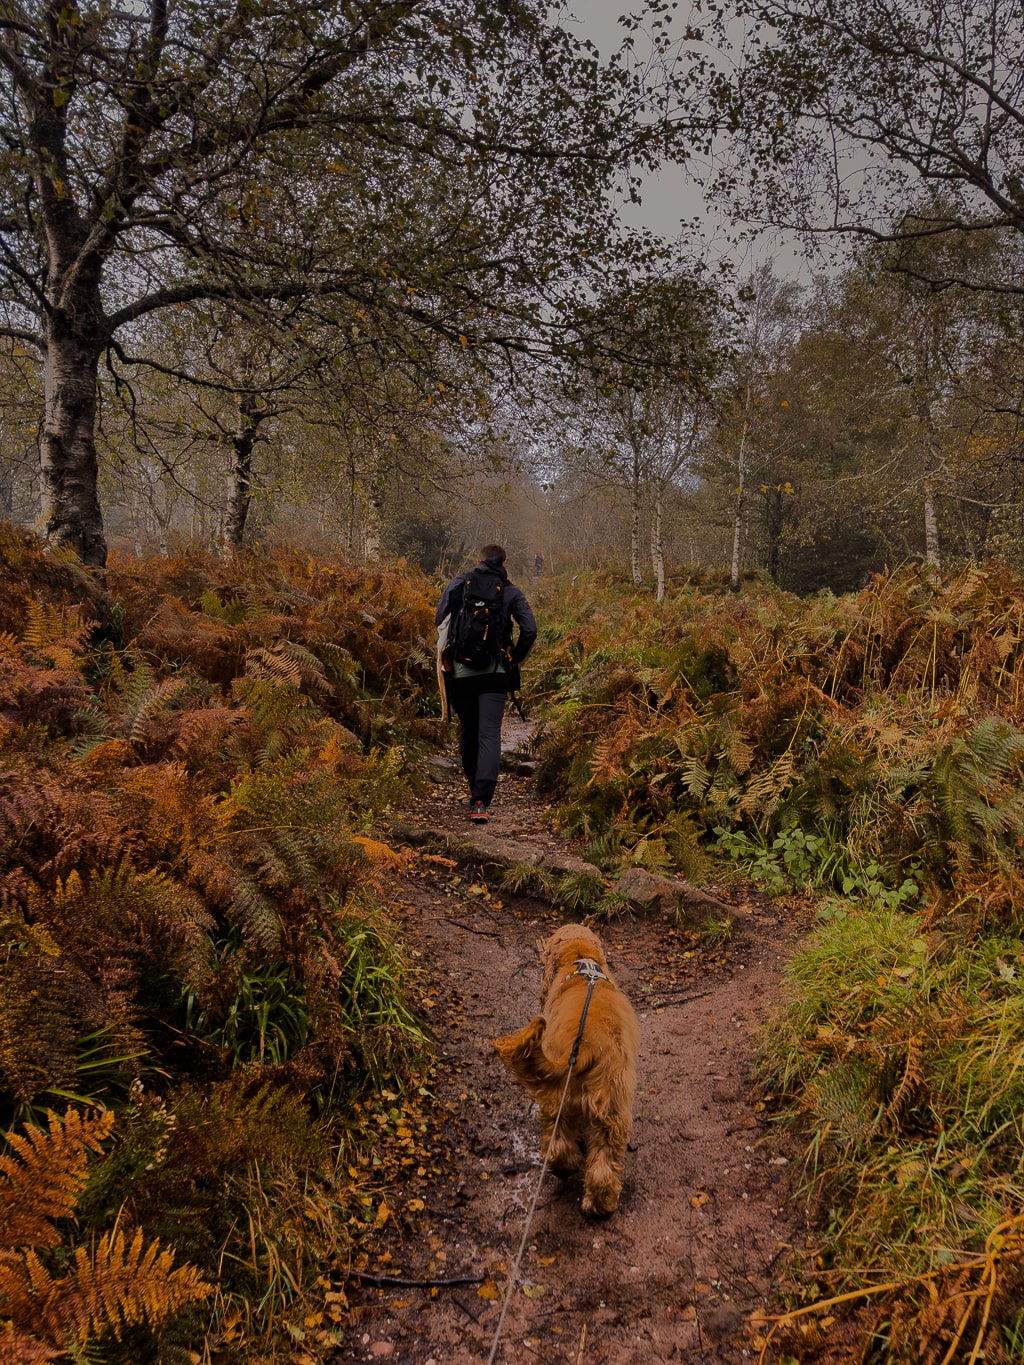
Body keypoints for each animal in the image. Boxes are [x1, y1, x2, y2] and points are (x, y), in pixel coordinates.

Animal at [491, 922, 638, 1223]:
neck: (580, 959)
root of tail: (586, 1049)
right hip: (606, 1108)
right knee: (600, 1163)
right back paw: (599, 1204)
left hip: (562, 1101)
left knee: (560, 1145)